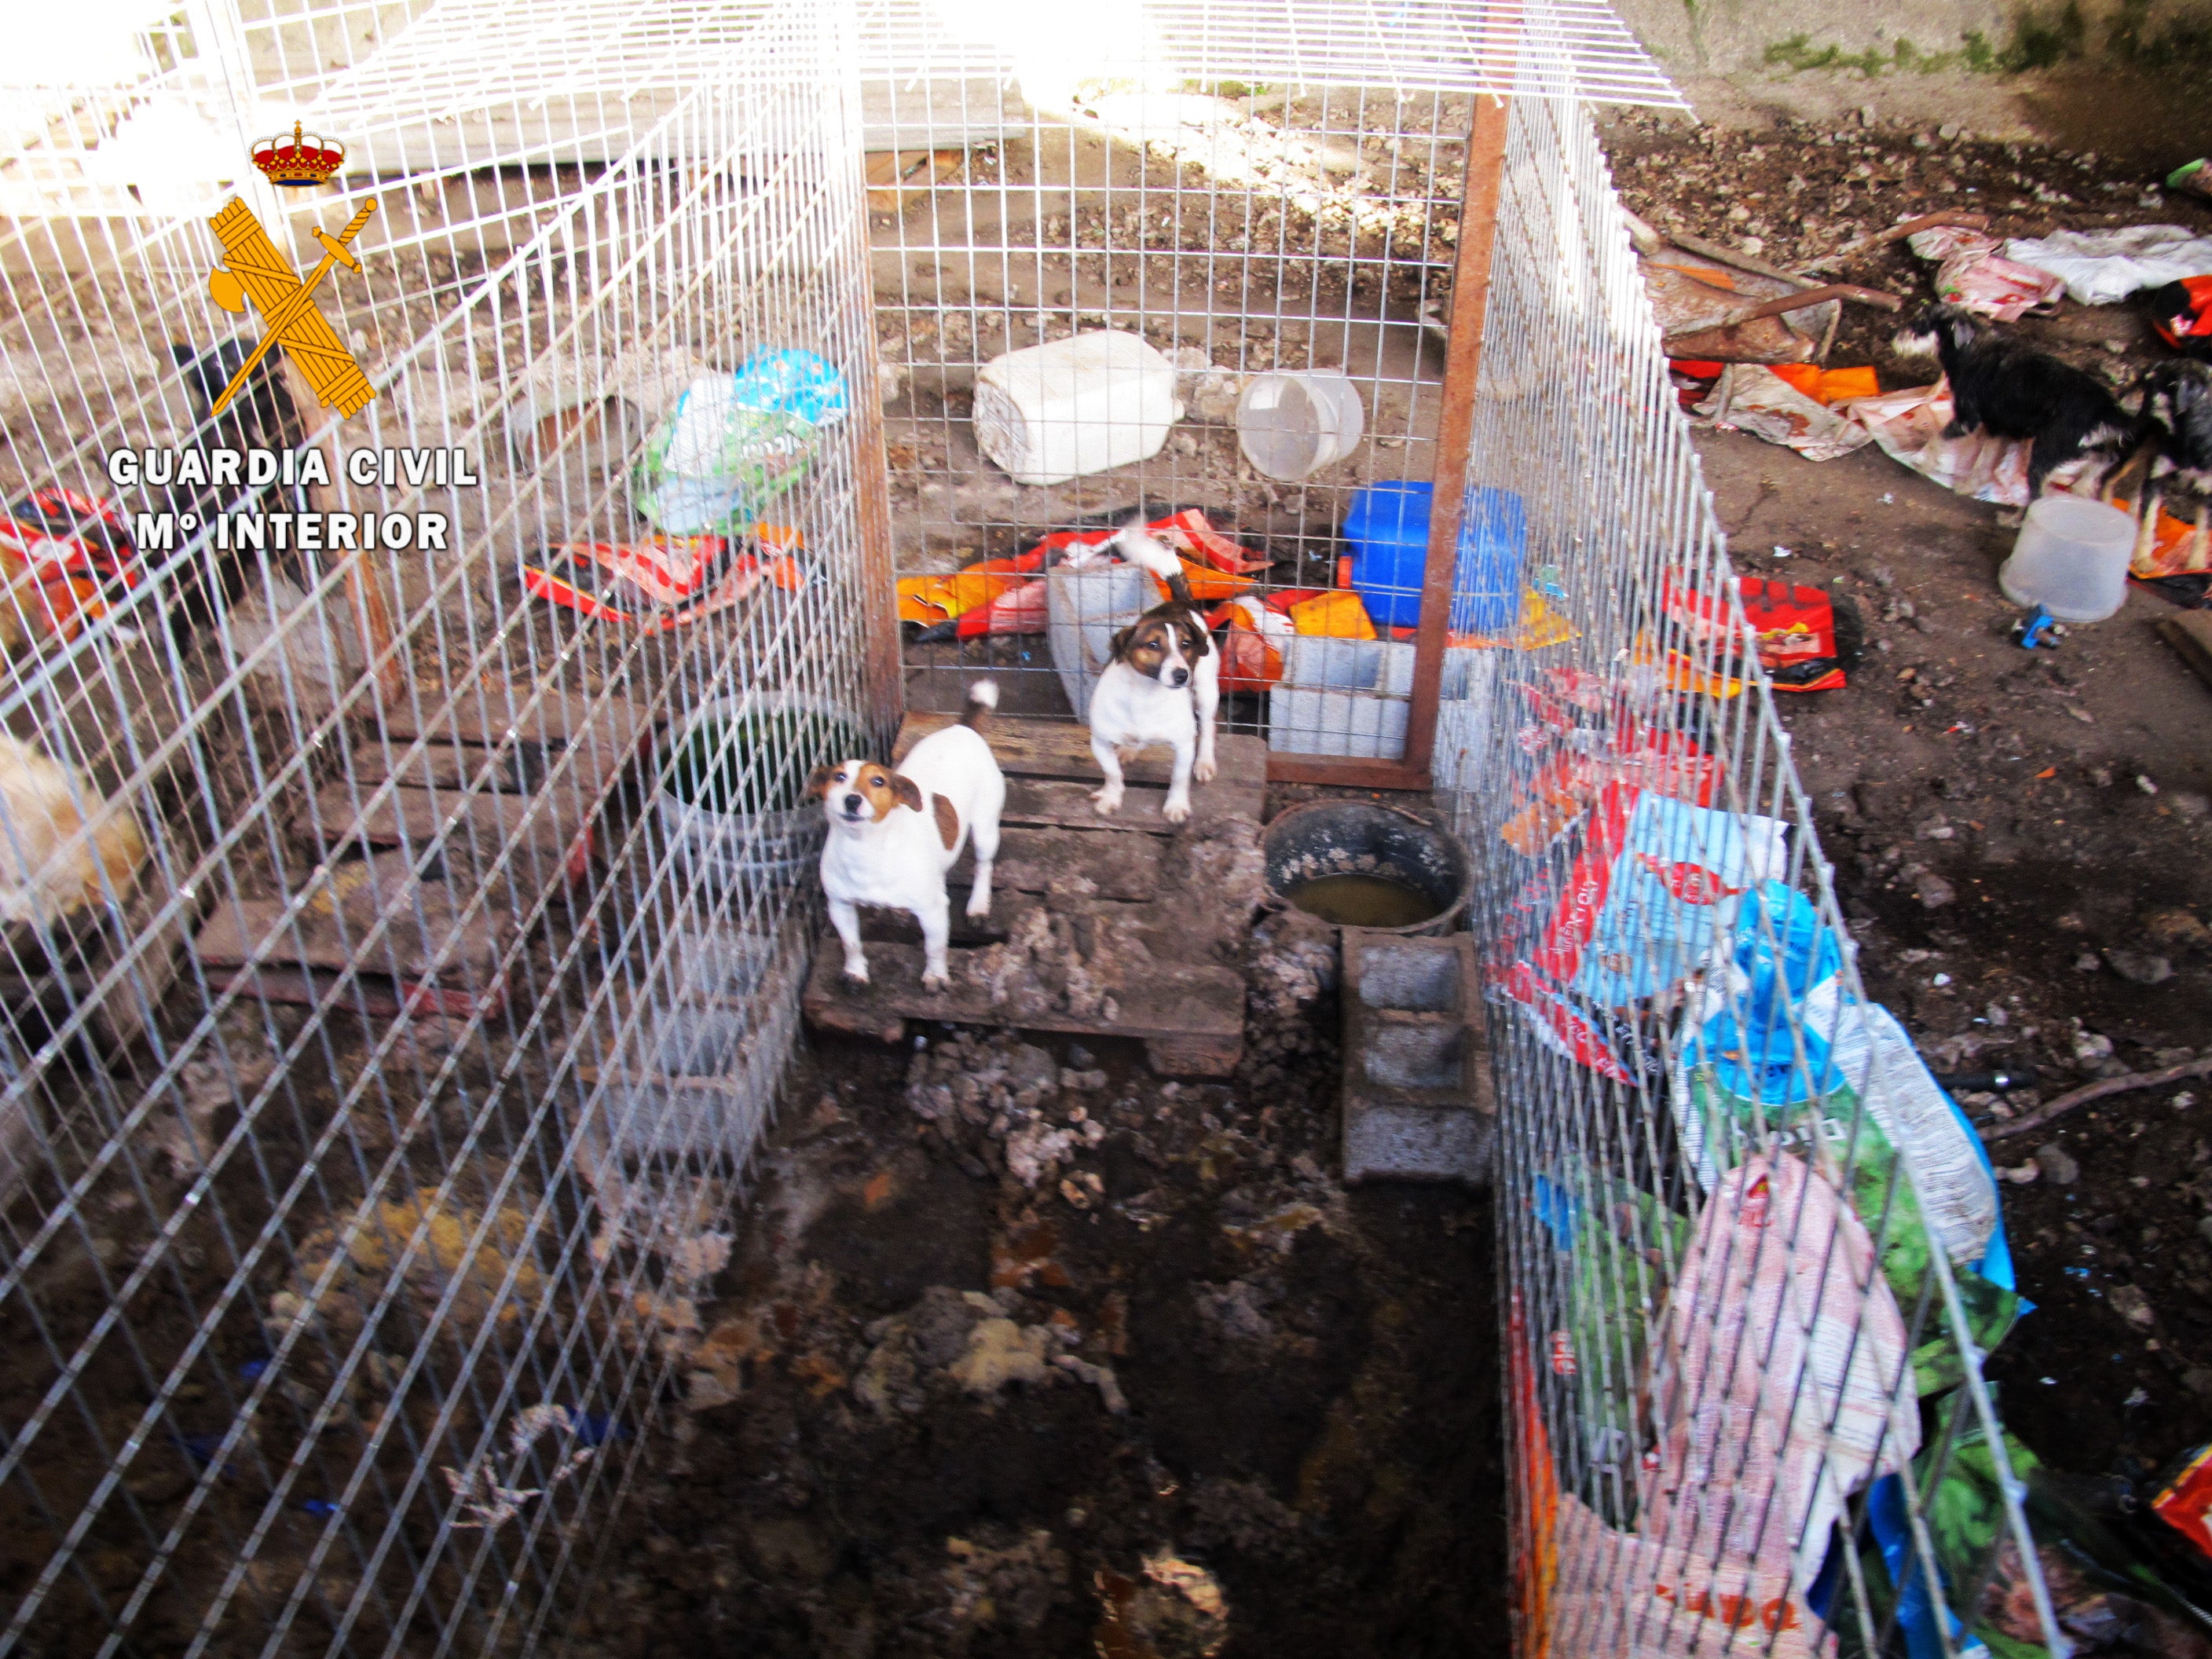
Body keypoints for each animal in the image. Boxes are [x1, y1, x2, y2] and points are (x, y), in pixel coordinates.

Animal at [809, 681, 1009, 995]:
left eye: (878, 781)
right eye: (838, 777)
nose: (852, 800)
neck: (865, 849)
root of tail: (963, 729)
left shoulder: (933, 911)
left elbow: (935, 947)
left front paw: (936, 976)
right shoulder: (840, 905)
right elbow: (851, 944)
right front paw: (855, 973)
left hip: (986, 829)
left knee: (984, 866)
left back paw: (978, 905)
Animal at [1083, 519, 1221, 827]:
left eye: (1186, 645)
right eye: (1153, 645)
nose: (1182, 675)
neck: (1145, 696)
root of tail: (1182, 603)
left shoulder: (1183, 745)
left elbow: (1179, 778)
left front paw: (1176, 805)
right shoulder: (1099, 741)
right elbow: (1112, 774)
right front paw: (1111, 797)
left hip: (1207, 691)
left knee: (1208, 727)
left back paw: (1205, 762)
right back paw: (1130, 749)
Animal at [1893, 305, 2132, 500]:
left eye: (1922, 325)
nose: (1895, 338)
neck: (1967, 351)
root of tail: (2107, 413)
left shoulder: (1967, 420)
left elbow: (1936, 439)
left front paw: (1924, 463)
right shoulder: (1997, 428)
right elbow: (1985, 461)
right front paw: (1968, 487)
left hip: (2045, 453)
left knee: (2038, 496)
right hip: (2086, 449)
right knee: (2102, 465)